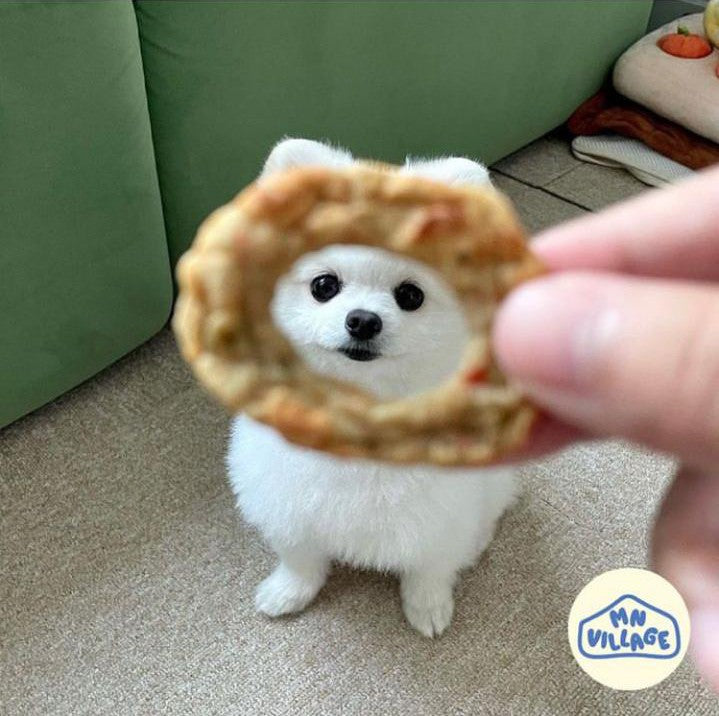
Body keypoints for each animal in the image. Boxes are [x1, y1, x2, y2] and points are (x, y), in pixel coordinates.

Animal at [226, 140, 516, 636]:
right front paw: (289, 590)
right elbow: (300, 559)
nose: (362, 320)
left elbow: (430, 568)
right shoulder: (289, 501)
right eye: (324, 285)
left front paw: (428, 606)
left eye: (411, 295)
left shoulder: (442, 517)